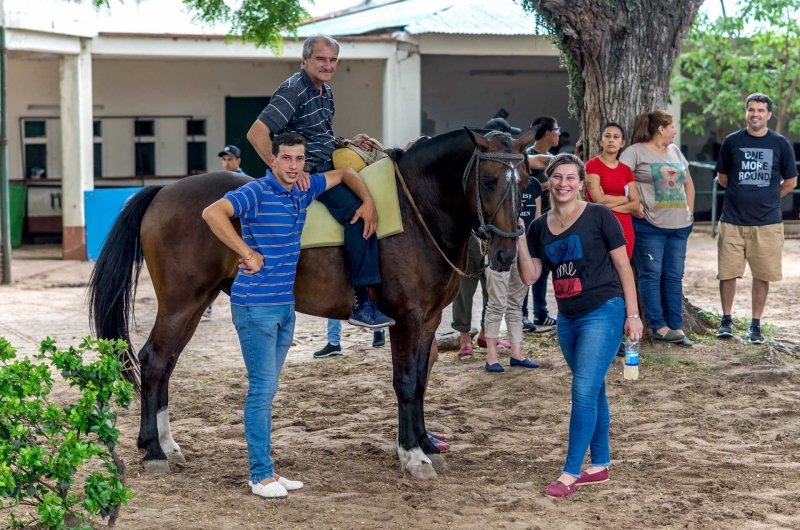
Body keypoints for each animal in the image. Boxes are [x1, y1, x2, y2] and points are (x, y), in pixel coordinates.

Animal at [87, 125, 536, 478]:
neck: (417, 210)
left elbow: (422, 381)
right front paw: (413, 455)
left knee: (166, 364)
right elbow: (406, 382)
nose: (505, 255)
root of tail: (165, 190)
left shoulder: (427, 320)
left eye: (528, 180)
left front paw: (425, 443)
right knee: (153, 361)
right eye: (489, 180)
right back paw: (154, 451)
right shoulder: (406, 318)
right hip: (182, 301)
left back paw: (166, 445)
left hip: (197, 303)